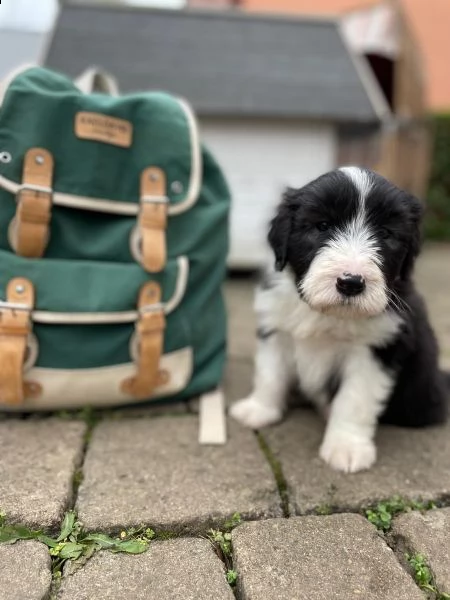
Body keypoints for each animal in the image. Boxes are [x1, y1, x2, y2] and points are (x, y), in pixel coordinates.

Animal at [230, 166, 448, 472]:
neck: (327, 313)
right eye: (322, 226)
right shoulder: (277, 327)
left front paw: (346, 447)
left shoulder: (376, 349)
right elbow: (270, 373)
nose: (351, 283)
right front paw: (259, 410)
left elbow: (354, 399)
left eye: (385, 233)